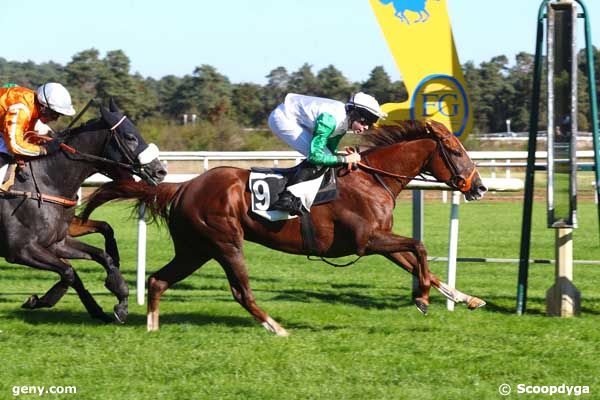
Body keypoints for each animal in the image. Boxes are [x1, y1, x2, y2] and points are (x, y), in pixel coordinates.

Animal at [0, 98, 166, 324]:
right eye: (130, 137)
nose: (160, 171)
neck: (45, 181)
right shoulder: (21, 250)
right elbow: (69, 272)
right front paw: (41, 299)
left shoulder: (56, 242)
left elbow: (101, 257)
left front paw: (119, 302)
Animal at [84, 120, 488, 336]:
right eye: (454, 150)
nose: (480, 187)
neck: (372, 180)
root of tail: (183, 186)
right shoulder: (368, 240)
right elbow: (419, 247)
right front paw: (422, 299)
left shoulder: (378, 241)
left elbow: (422, 263)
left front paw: (466, 298)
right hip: (225, 243)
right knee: (240, 292)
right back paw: (276, 328)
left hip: (195, 249)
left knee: (158, 280)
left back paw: (152, 327)